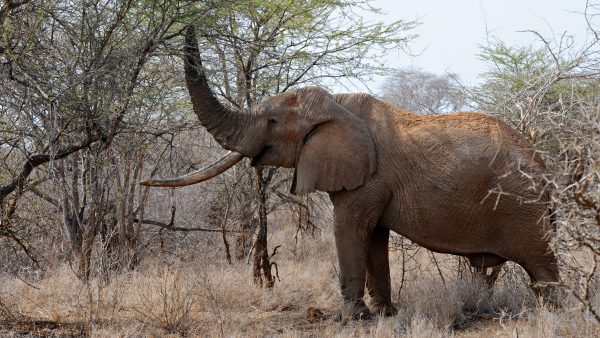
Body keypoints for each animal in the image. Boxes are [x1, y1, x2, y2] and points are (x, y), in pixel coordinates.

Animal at [141, 27, 556, 320]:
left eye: (272, 121)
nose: (190, 22)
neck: (336, 104)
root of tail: (541, 162)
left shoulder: (369, 178)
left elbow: (350, 228)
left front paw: (351, 318)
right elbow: (373, 237)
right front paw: (385, 314)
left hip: (524, 208)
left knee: (541, 263)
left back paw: (554, 313)